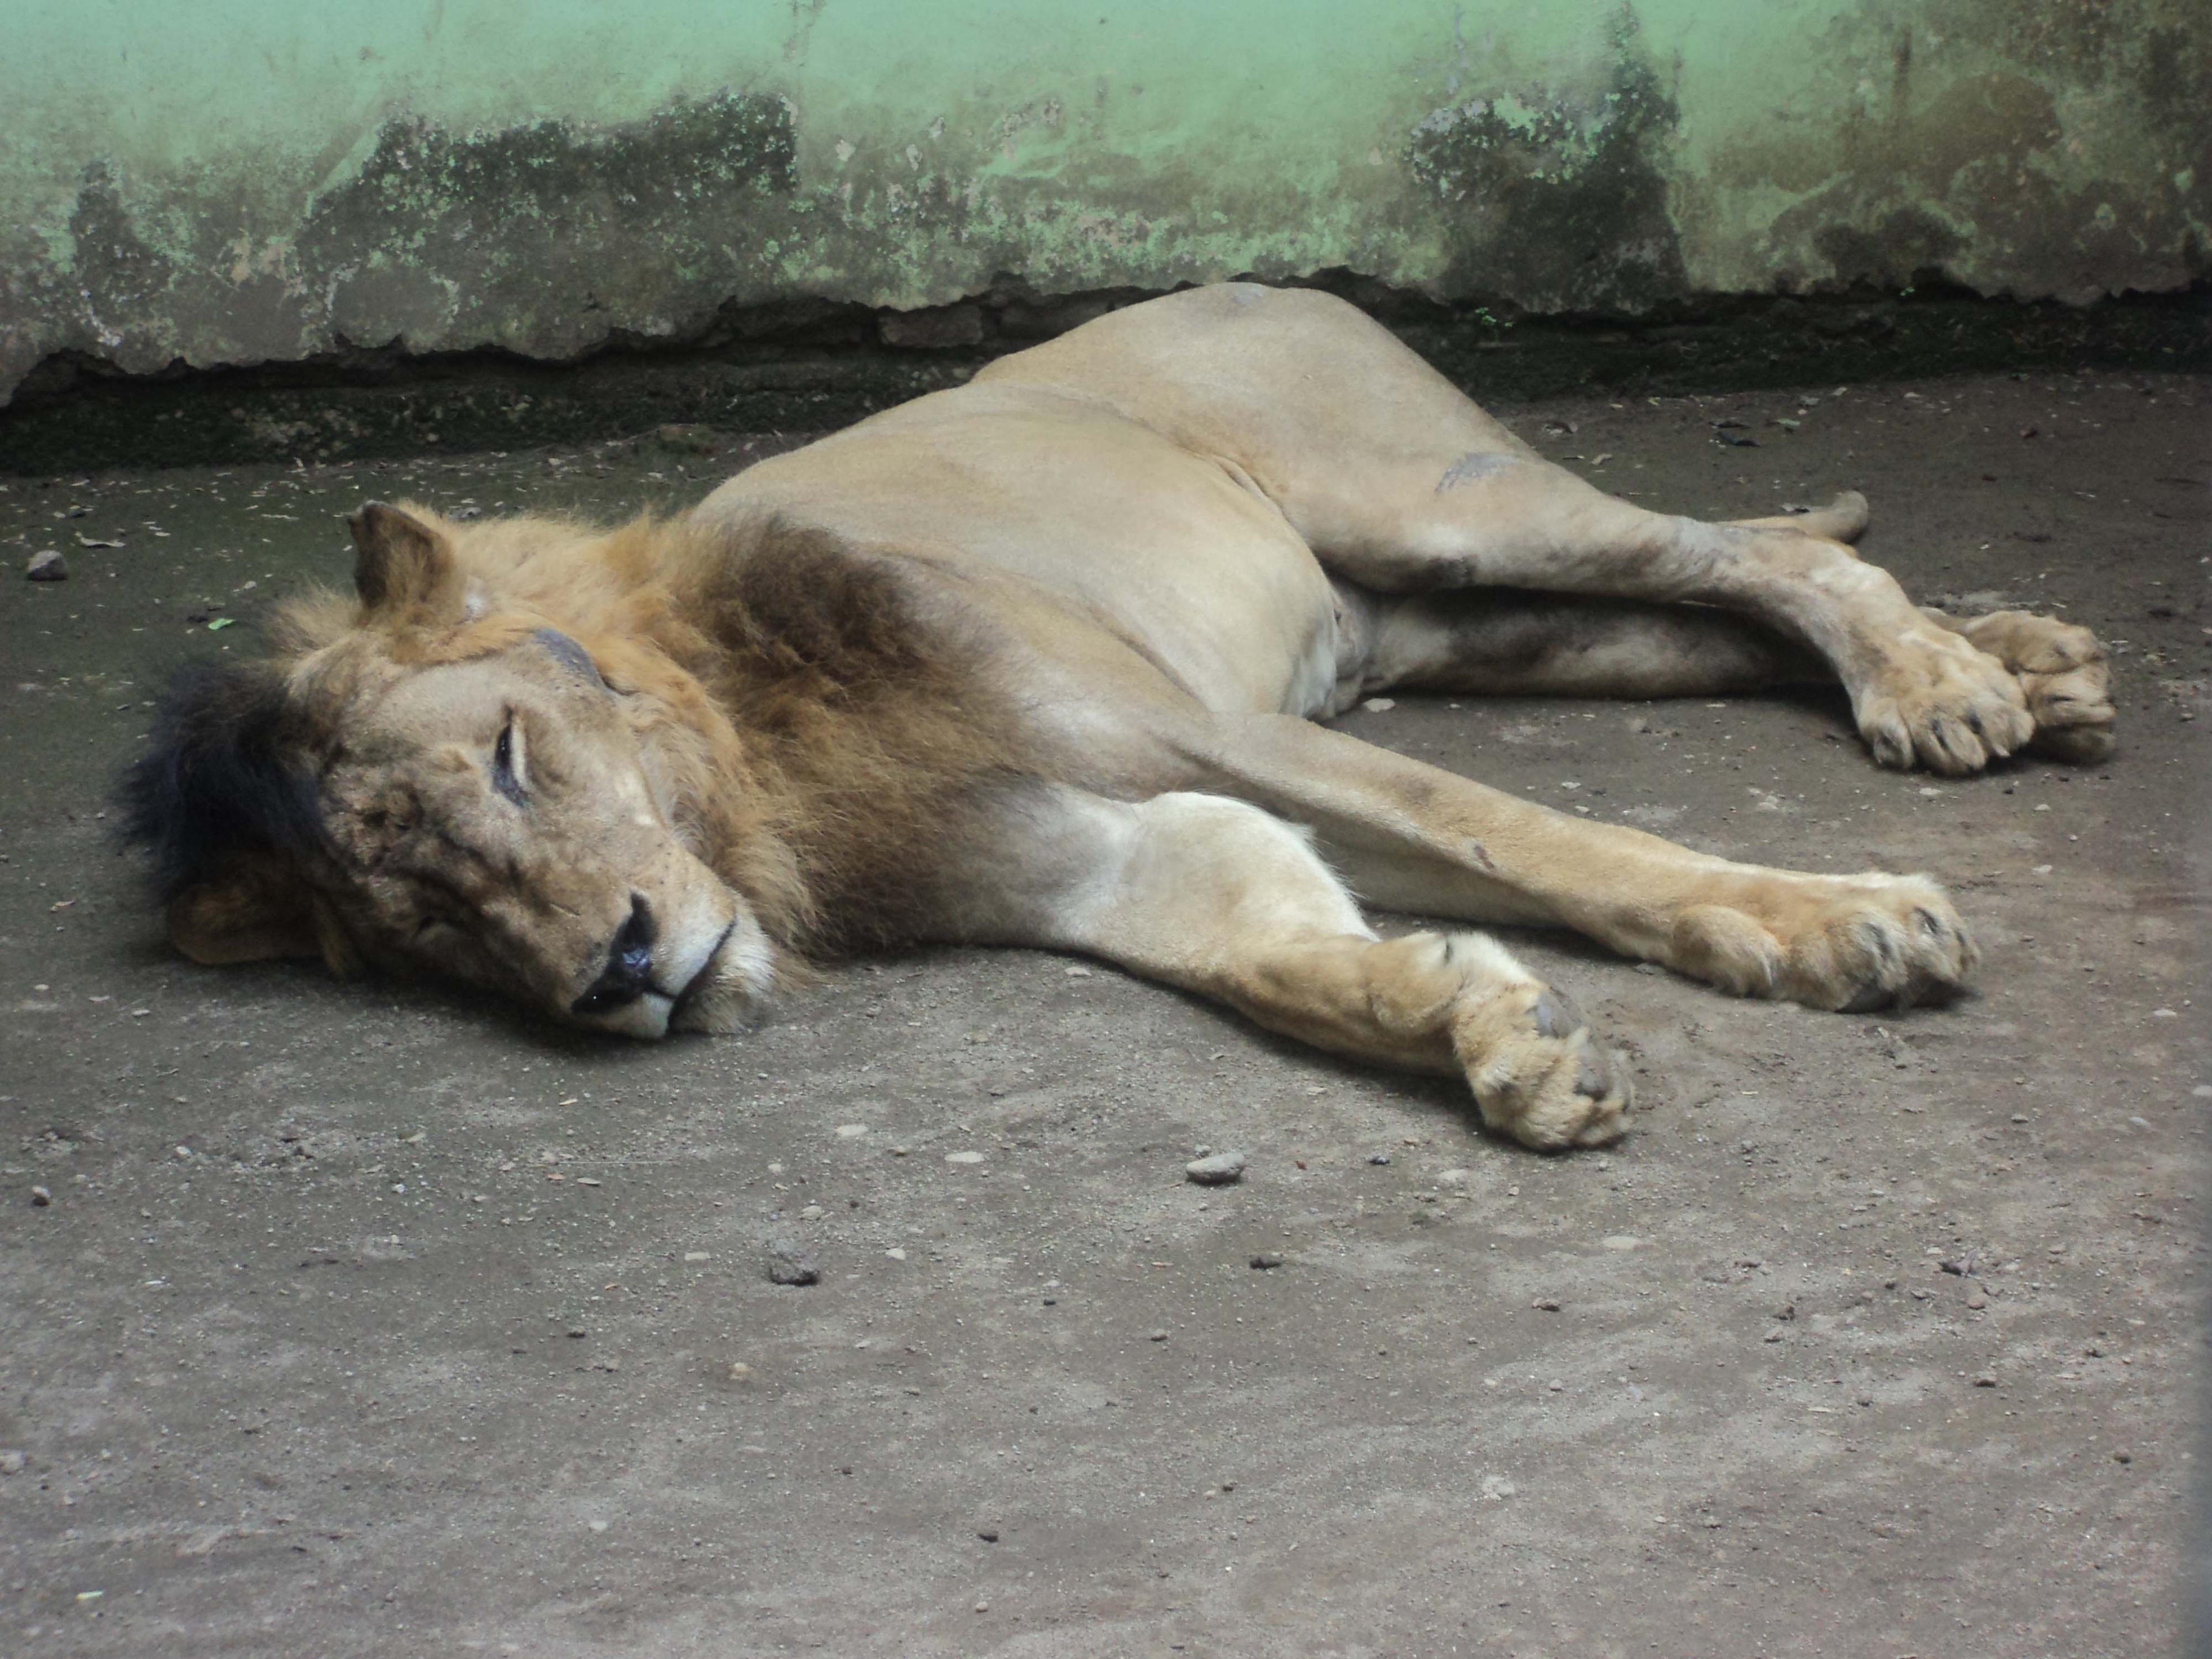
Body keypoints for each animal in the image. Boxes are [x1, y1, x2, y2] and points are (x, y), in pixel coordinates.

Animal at [116, 279, 2105, 1150]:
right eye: (428, 927)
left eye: (514, 758)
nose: (612, 973)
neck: (758, 763)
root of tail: (1252, 272)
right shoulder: (1077, 855)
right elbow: (1273, 946)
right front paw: (1494, 1036)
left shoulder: (1215, 731)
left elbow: (1523, 835)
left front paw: (1835, 927)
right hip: (1445, 619)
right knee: (1732, 591)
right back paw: (2029, 663)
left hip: (1435, 502)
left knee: (1757, 553)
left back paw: (1945, 687)